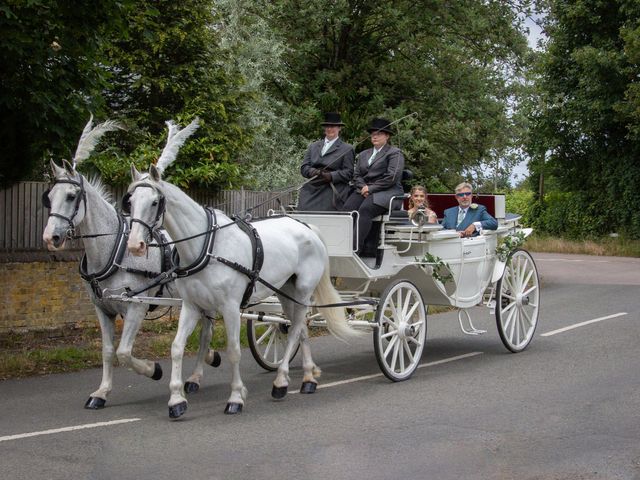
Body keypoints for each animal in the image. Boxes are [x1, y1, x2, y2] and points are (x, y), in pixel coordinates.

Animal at [42, 117, 219, 408]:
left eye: (70, 196)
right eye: (49, 197)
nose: (50, 237)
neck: (114, 251)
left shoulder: (136, 306)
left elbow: (124, 352)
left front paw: (153, 369)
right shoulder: (102, 308)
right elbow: (107, 351)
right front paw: (101, 392)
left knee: (206, 333)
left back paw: (197, 373)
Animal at [125, 119, 356, 416]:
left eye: (155, 202)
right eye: (130, 201)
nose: (135, 245)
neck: (207, 246)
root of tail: (307, 226)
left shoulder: (231, 307)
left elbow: (234, 350)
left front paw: (235, 397)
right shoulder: (191, 305)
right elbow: (177, 347)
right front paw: (177, 400)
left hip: (304, 290)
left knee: (295, 329)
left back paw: (281, 381)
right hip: (286, 291)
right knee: (300, 327)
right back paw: (307, 377)